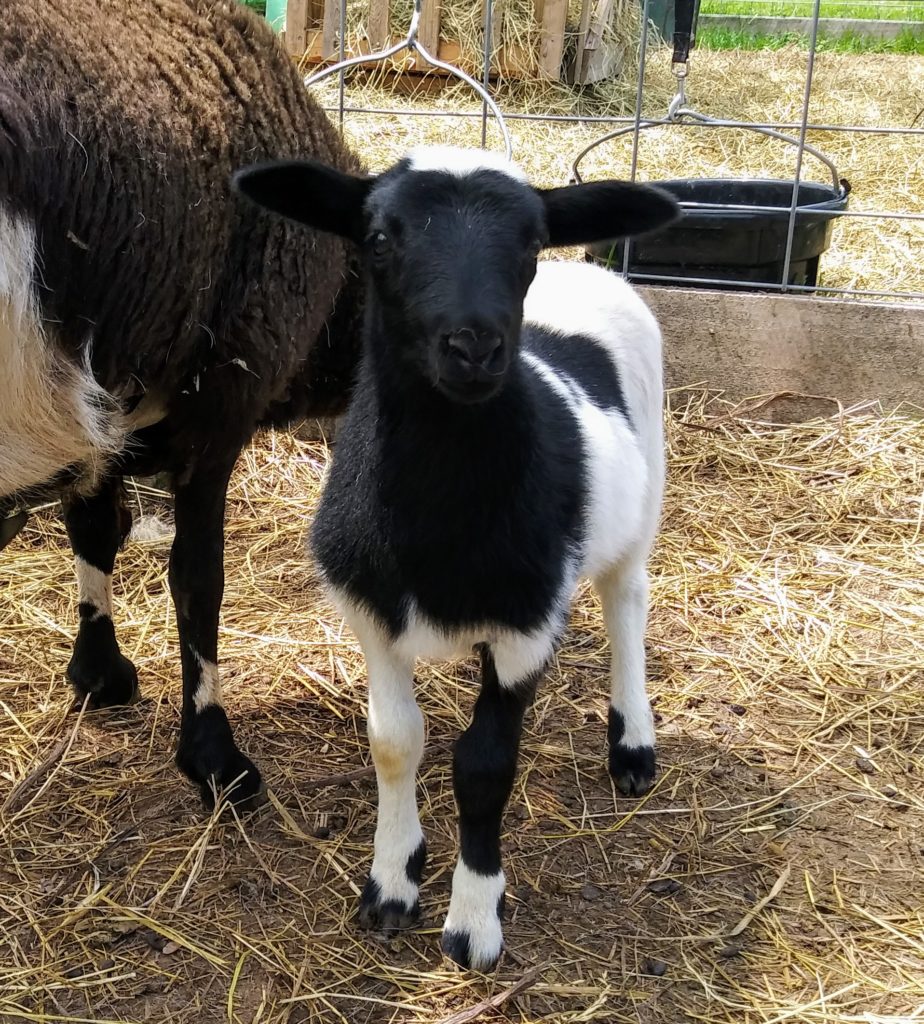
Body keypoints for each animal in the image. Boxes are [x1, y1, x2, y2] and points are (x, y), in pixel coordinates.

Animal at [0, 2, 364, 806]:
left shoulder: (104, 419)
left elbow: (94, 532)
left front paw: (98, 674)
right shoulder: (216, 410)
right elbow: (198, 580)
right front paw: (216, 758)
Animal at [235, 144, 676, 966]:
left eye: (530, 244)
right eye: (379, 239)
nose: (473, 348)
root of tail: (587, 274)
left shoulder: (525, 627)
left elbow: (483, 766)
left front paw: (474, 920)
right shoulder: (372, 616)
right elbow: (395, 743)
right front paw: (391, 882)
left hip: (645, 494)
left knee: (627, 600)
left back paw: (632, 742)